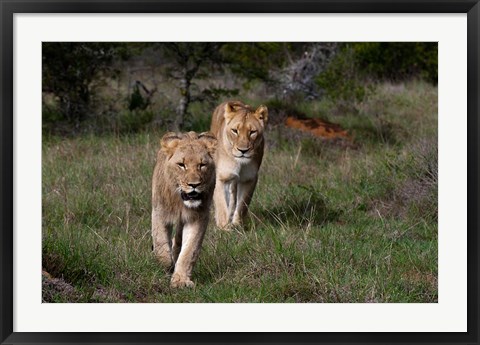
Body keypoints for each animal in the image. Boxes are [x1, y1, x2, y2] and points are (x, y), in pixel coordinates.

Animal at [151, 130, 217, 286]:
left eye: (202, 165)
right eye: (181, 165)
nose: (194, 184)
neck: (180, 202)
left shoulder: (197, 218)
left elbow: (189, 251)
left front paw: (180, 280)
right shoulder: (159, 213)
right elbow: (161, 244)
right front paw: (166, 266)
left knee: (178, 241)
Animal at [210, 100, 268, 228]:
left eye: (252, 132)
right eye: (235, 131)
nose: (243, 150)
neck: (240, 163)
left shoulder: (249, 179)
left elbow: (242, 204)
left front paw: (237, 225)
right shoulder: (222, 177)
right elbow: (221, 204)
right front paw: (224, 227)